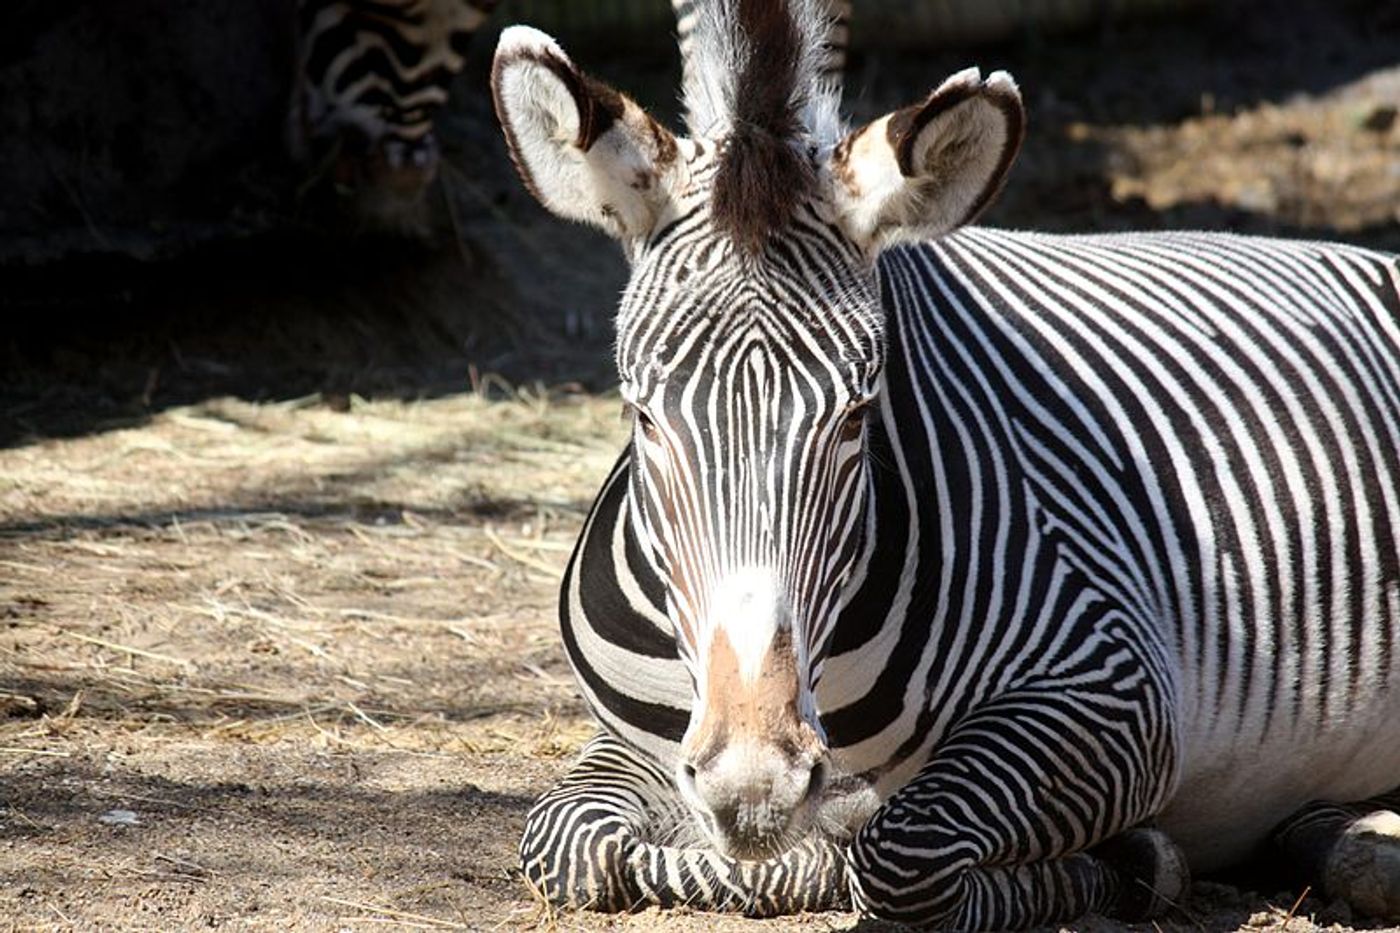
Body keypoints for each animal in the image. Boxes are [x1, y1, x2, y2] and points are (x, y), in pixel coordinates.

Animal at [492, 0, 1400, 924]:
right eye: (643, 415)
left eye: (859, 415)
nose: (755, 789)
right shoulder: (637, 736)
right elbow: (567, 842)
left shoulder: (1117, 687)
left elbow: (900, 852)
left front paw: (1117, 864)